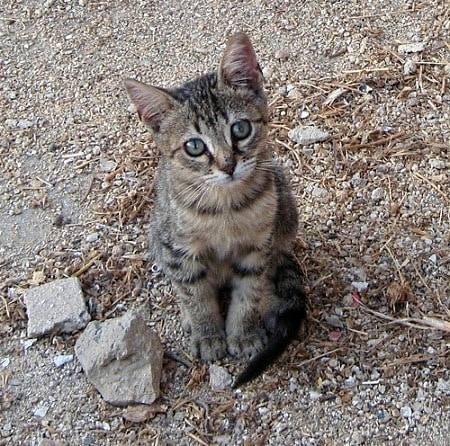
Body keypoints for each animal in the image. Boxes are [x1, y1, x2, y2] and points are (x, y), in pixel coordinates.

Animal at [124, 32, 306, 386]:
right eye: (195, 146)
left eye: (240, 129)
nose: (228, 165)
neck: (226, 209)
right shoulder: (179, 251)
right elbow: (196, 298)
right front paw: (208, 335)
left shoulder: (257, 246)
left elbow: (248, 294)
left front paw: (243, 335)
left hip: (285, 213)